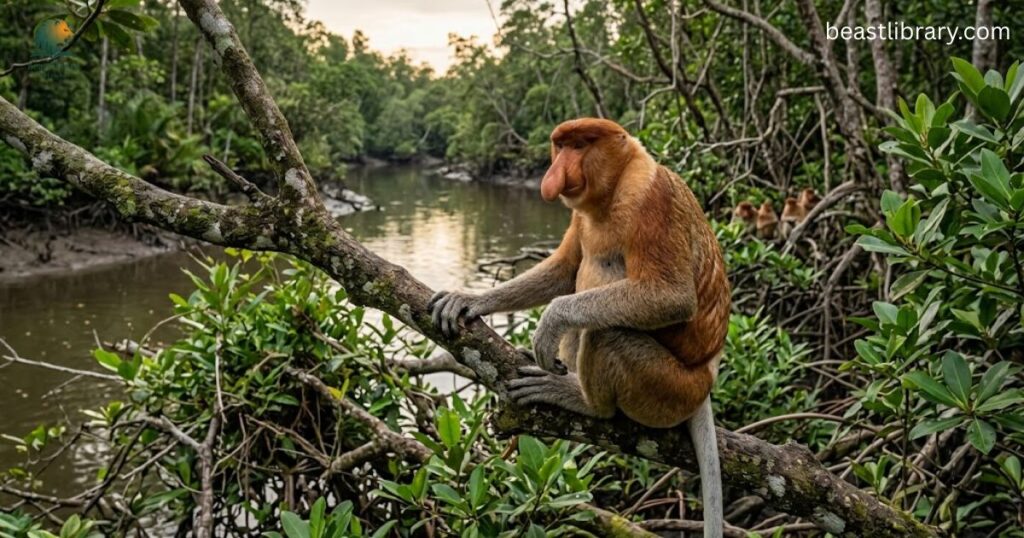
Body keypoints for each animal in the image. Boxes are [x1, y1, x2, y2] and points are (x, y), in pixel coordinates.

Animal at [428, 118, 727, 538]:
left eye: (581, 145)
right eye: (561, 145)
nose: (554, 174)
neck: (612, 191)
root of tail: (707, 373)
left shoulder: (652, 198)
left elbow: (672, 296)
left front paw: (549, 324)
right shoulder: (580, 217)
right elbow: (565, 269)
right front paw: (468, 298)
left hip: (669, 390)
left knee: (608, 333)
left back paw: (580, 398)